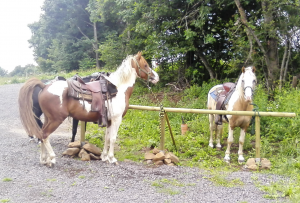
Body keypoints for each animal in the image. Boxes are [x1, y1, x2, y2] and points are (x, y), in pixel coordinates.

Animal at [18, 52, 159, 167]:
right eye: (146, 65)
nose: (156, 77)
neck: (118, 89)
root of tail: (44, 86)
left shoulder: (109, 121)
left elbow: (107, 138)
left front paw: (104, 157)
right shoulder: (116, 119)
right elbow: (113, 138)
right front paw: (112, 159)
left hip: (48, 118)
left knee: (41, 134)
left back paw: (43, 159)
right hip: (55, 120)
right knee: (45, 135)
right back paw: (51, 159)